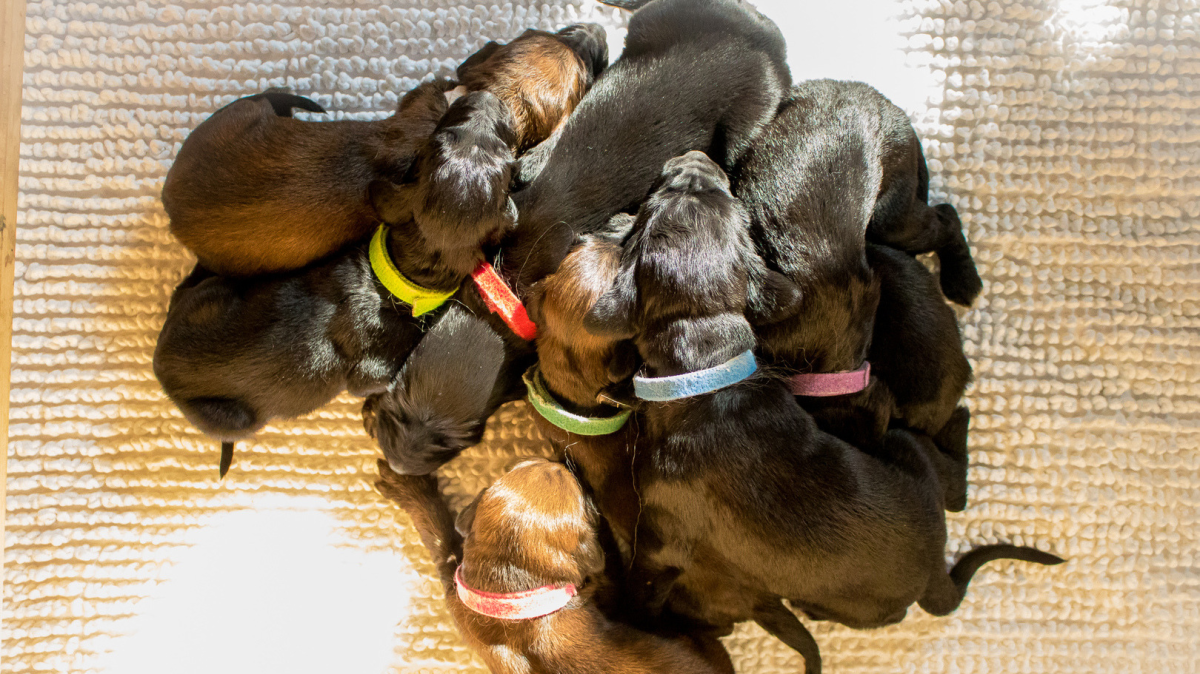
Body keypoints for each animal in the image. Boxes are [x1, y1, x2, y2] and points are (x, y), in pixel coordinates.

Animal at [363, 0, 793, 477]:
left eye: (455, 441)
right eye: (396, 410)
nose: (399, 464)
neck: (504, 290)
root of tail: (759, 30)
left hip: (748, 120)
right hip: (659, 21)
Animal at [374, 459, 735, 674]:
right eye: (584, 499)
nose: (560, 460)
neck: (514, 594)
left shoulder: (453, 579)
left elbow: (437, 532)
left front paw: (407, 487)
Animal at [583, 151, 1063, 673]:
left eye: (653, 206)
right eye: (734, 212)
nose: (696, 158)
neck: (705, 364)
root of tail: (935, 571)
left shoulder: (660, 534)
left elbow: (643, 578)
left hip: (898, 457)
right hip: (907, 450)